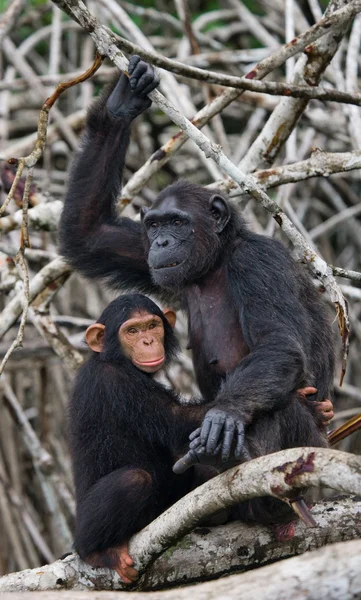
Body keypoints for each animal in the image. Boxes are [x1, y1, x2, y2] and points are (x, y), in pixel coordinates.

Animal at [60, 56, 334, 472]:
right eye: (155, 224)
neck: (215, 265)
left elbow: (278, 344)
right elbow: (88, 234)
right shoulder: (143, 253)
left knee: (282, 402)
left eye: (178, 222)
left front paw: (224, 416)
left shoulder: (258, 265)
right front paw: (123, 101)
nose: (161, 242)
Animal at [68, 292, 211, 584]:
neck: (115, 360)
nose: (147, 341)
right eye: (132, 331)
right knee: (133, 480)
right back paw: (95, 552)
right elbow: (178, 420)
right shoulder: (118, 383)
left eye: (152, 326)